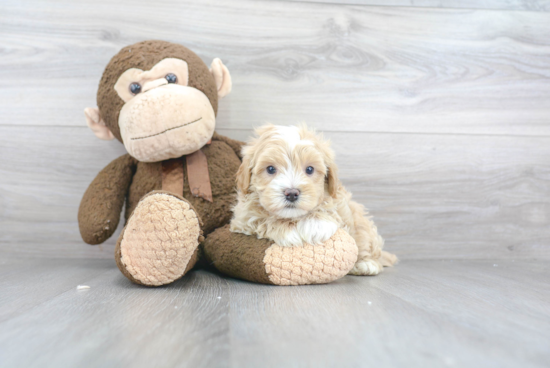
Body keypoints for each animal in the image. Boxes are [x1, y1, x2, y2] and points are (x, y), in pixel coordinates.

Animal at [231, 125, 398, 274]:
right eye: (270, 169)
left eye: (309, 169)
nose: (292, 193)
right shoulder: (242, 219)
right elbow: (262, 219)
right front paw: (289, 231)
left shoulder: (339, 202)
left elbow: (327, 209)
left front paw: (316, 224)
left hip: (361, 222)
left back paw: (367, 264)